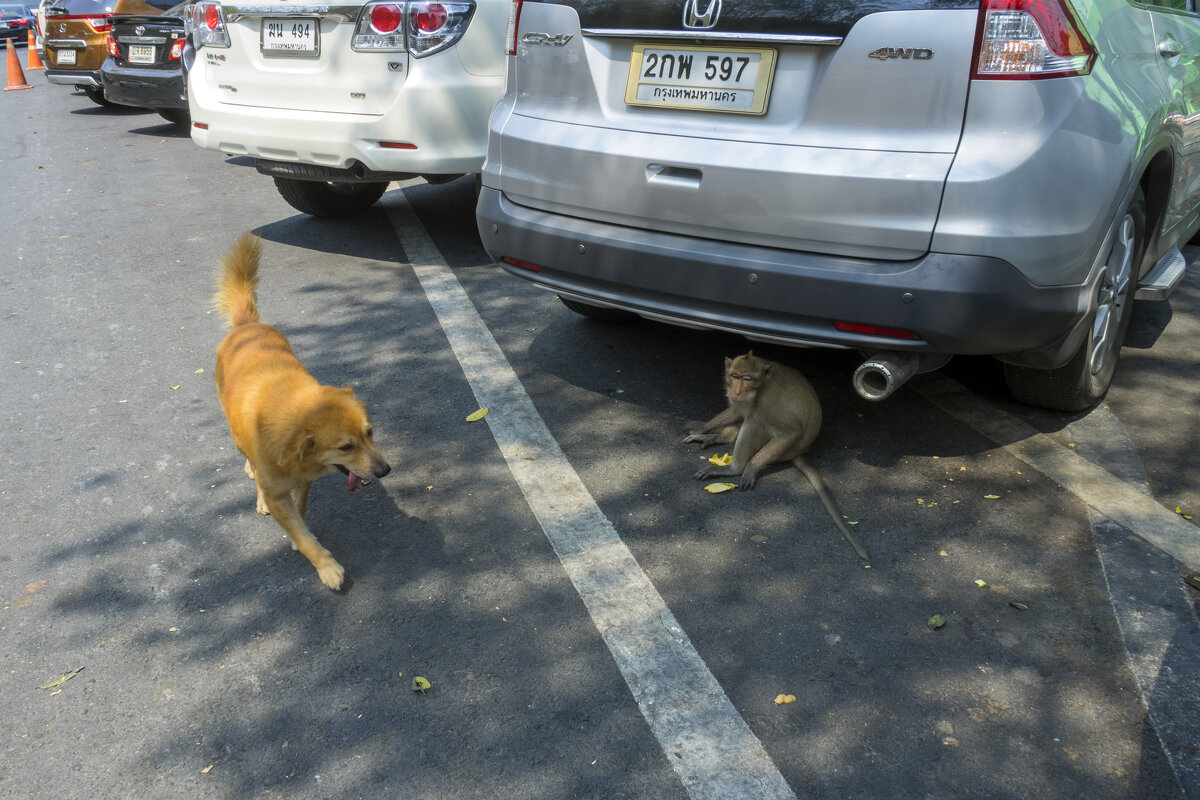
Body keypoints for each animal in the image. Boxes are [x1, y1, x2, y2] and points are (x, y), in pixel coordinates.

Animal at [211, 231, 388, 587]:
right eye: (346, 447)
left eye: (370, 433)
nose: (385, 471)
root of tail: (246, 325)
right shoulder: (278, 494)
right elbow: (299, 532)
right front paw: (326, 566)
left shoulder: (304, 482)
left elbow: (301, 511)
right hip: (236, 436)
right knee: (249, 464)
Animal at [686, 350, 873, 563]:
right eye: (735, 376)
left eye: (747, 379)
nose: (738, 392)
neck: (760, 386)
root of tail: (803, 450)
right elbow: (737, 409)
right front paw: (704, 429)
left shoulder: (767, 403)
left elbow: (790, 431)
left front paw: (750, 468)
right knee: (746, 413)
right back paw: (718, 438)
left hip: (783, 449)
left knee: (755, 419)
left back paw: (734, 468)